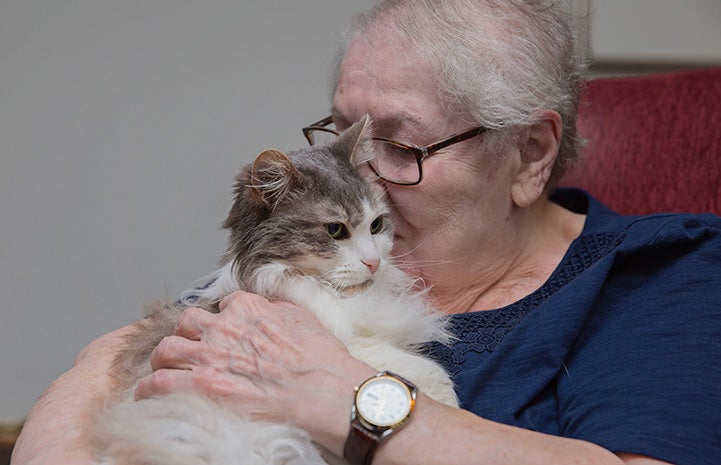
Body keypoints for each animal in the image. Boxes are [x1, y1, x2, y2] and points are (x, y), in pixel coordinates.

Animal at [94, 117, 456, 464]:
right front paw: (451, 403)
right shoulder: (348, 341)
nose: (373, 262)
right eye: (335, 230)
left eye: (376, 225)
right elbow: (422, 370)